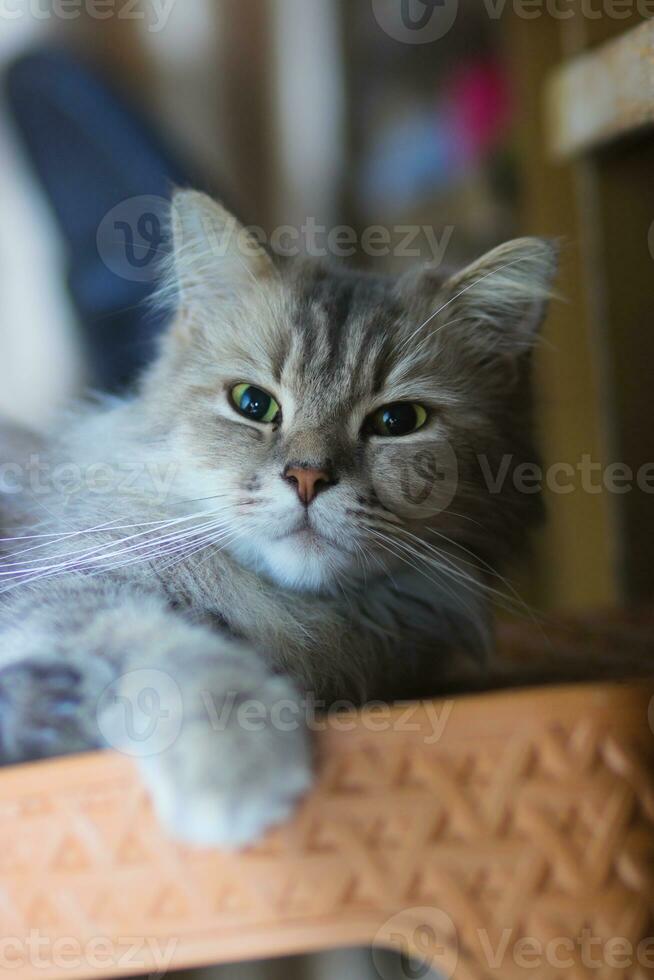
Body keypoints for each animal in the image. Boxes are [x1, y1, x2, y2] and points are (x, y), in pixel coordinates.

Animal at [0, 193, 560, 848]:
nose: (308, 479)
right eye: (252, 404)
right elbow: (175, 649)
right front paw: (231, 763)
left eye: (399, 421)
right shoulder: (67, 583)